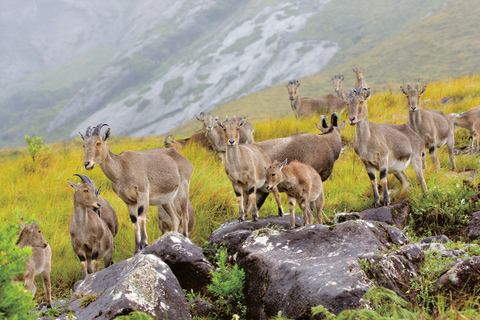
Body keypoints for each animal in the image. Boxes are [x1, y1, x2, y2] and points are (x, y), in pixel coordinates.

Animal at [79, 124, 193, 254]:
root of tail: (185, 160)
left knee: (185, 215)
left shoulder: (142, 193)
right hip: (166, 200)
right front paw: (136, 249)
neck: (121, 169)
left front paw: (144, 243)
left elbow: (141, 217)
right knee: (175, 218)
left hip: (184, 187)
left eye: (98, 143)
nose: (87, 164)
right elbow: (134, 222)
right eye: (84, 145)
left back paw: (185, 237)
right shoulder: (129, 201)